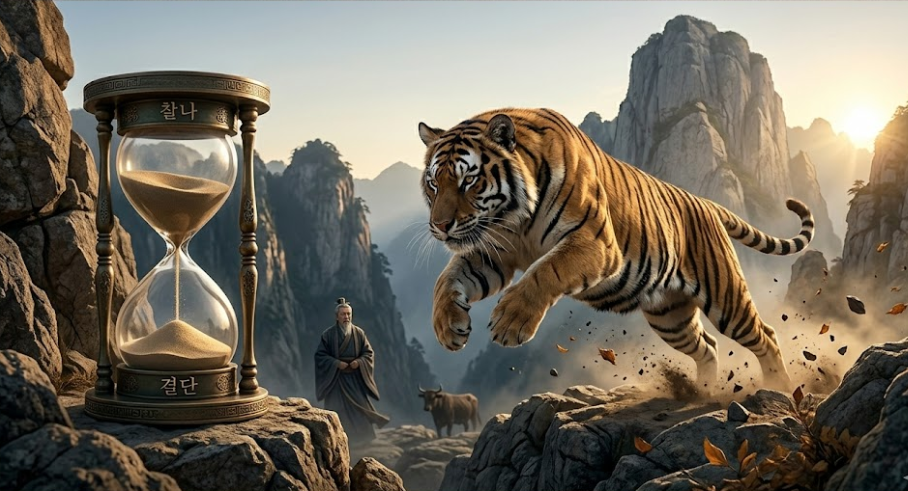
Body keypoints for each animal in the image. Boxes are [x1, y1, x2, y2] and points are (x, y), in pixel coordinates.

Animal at [417, 107, 813, 393]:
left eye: (469, 180)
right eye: (434, 183)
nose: (440, 225)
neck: (514, 217)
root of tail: (707, 203)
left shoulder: (595, 243)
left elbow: (546, 271)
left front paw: (510, 322)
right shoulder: (494, 252)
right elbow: (445, 279)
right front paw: (448, 326)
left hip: (726, 298)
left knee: (766, 335)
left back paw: (780, 387)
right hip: (670, 316)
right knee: (709, 347)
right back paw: (703, 392)